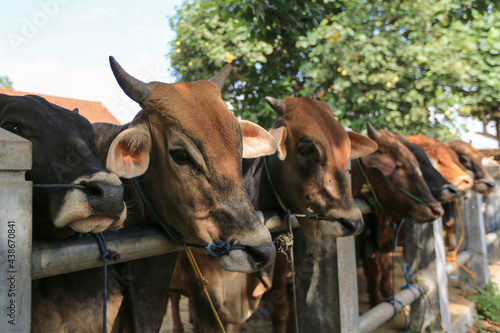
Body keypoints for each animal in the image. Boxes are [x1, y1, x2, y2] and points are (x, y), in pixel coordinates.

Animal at [354, 122, 444, 306]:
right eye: (400, 165)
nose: (437, 210)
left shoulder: (383, 244)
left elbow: (385, 268)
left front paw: (388, 295)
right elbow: (375, 270)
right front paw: (376, 299)